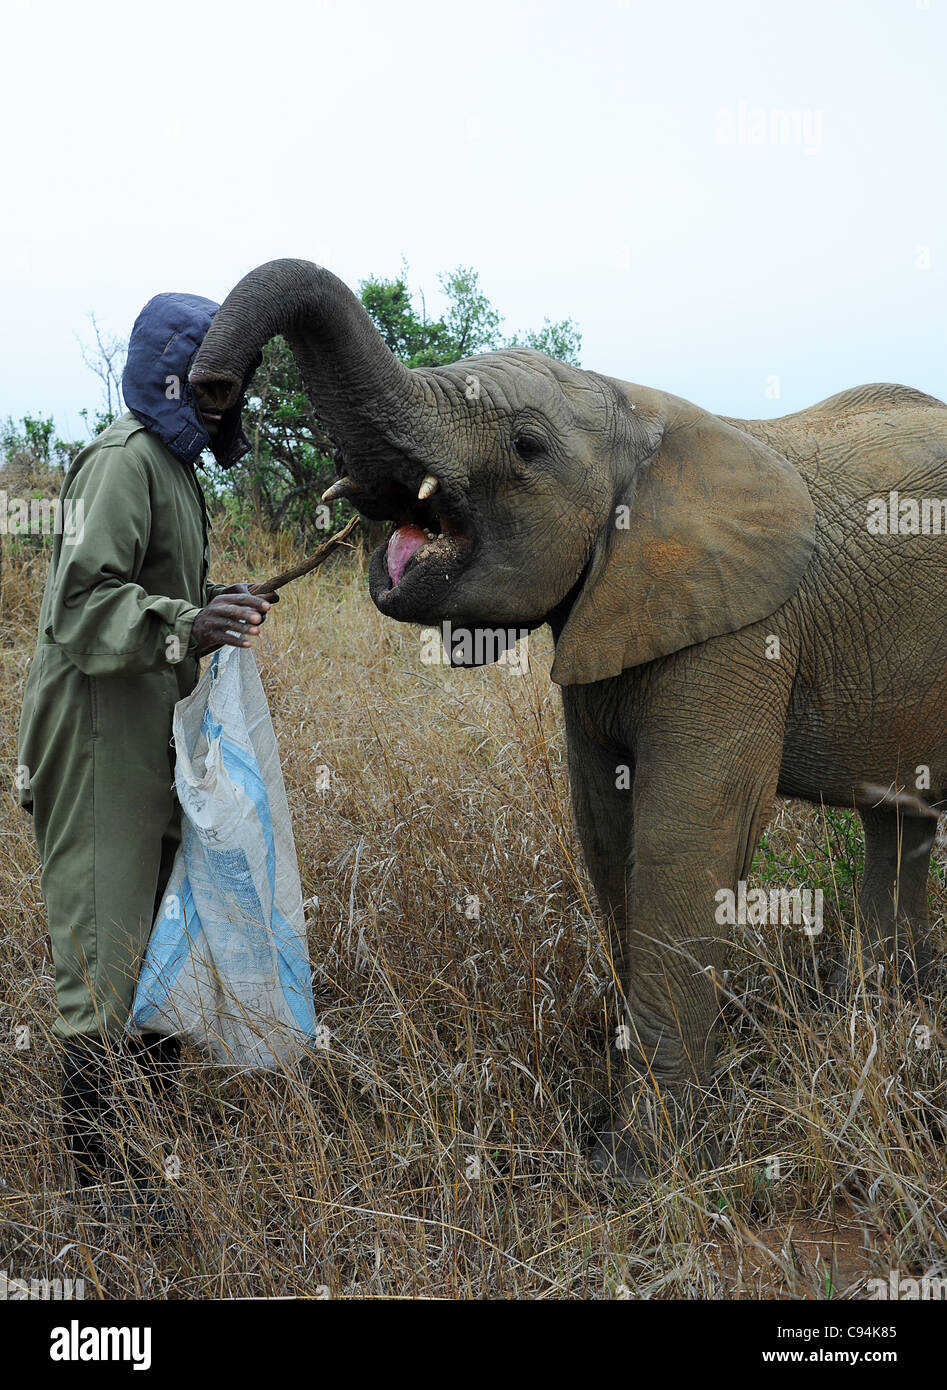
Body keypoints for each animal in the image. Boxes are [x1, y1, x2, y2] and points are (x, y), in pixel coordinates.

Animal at [190, 259, 947, 1179]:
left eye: (526, 446)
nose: (213, 389)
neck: (637, 414)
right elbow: (606, 836)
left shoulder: (742, 632)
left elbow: (683, 847)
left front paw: (642, 1170)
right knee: (897, 821)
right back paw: (880, 1017)